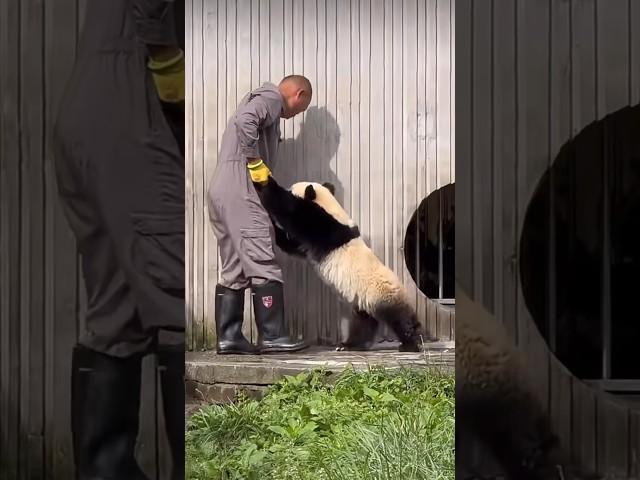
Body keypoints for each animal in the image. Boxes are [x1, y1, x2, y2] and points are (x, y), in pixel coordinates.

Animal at [250, 176, 436, 352]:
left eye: (291, 189)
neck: (331, 207)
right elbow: (290, 245)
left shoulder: (323, 227)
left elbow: (290, 211)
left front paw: (263, 184)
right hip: (363, 302)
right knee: (363, 323)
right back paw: (350, 344)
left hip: (381, 293)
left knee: (398, 318)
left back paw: (411, 343)